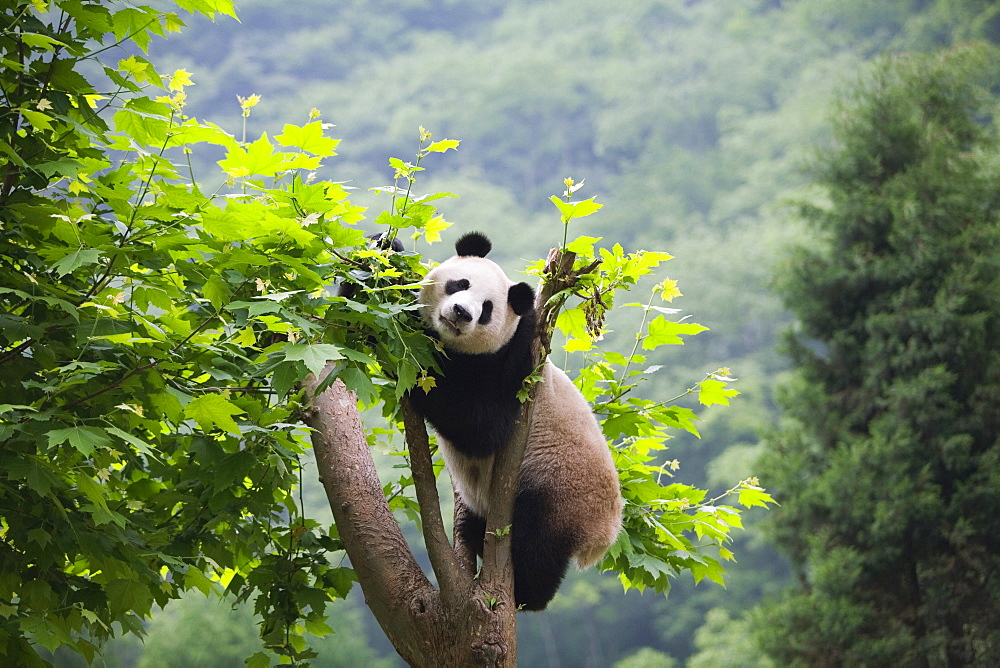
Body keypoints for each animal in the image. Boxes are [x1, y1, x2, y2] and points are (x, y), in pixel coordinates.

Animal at [410, 232, 620, 612]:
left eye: (487, 309)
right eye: (460, 283)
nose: (461, 313)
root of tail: (603, 535)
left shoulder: (516, 368)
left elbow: (481, 427)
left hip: (560, 489)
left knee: (538, 546)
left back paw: (524, 589)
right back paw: (474, 531)